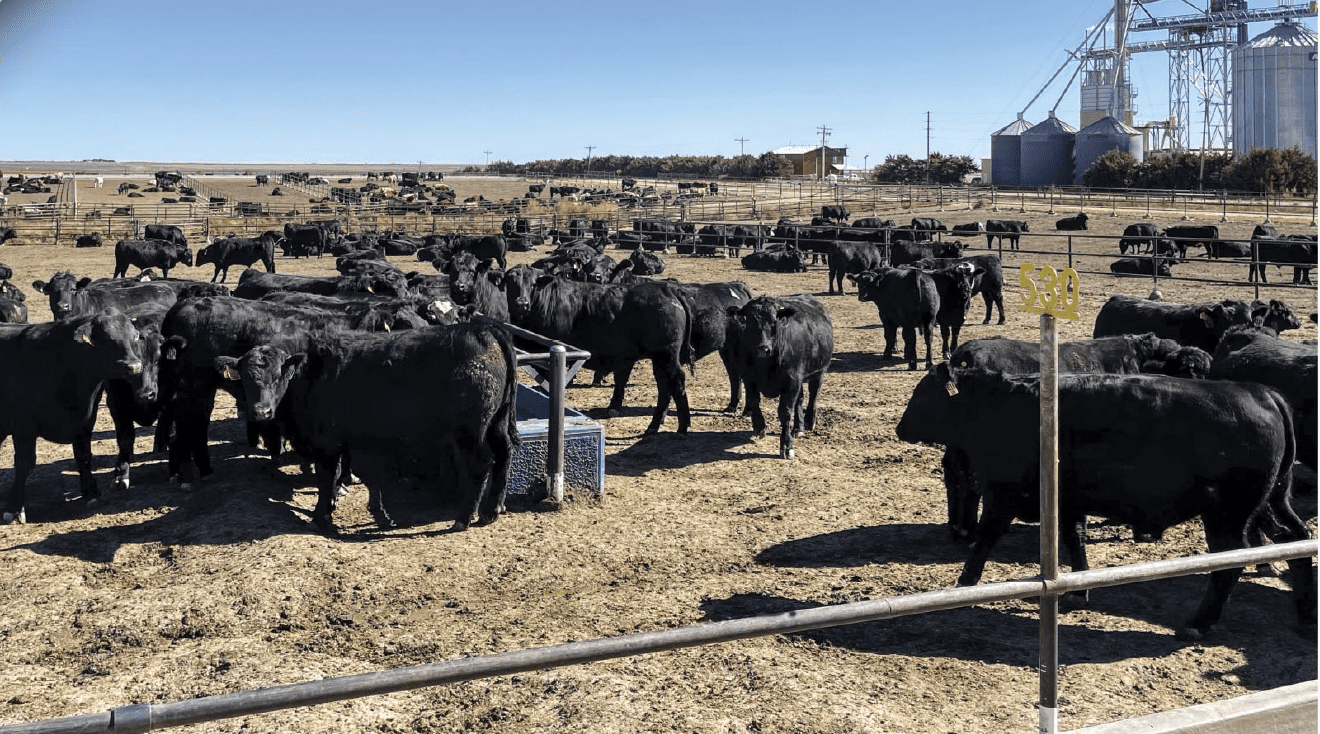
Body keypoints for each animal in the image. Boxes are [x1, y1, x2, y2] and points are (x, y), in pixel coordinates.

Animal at [0, 307, 157, 522]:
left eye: (133, 337)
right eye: (107, 339)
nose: (134, 366)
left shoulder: (85, 420)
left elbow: (84, 456)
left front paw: (90, 493)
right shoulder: (24, 424)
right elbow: (24, 463)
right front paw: (15, 509)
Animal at [215, 322, 514, 533]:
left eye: (278, 376)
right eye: (246, 379)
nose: (261, 412)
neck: (310, 371)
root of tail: (483, 328)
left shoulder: (326, 443)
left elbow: (326, 477)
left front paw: (321, 515)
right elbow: (335, 475)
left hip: (471, 431)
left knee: (481, 463)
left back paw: (465, 517)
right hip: (496, 423)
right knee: (504, 453)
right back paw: (493, 509)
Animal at [501, 265, 691, 433]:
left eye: (533, 283)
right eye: (510, 281)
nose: (522, 303)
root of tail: (667, 291)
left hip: (666, 355)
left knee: (676, 382)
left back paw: (682, 427)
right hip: (659, 359)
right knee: (664, 388)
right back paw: (654, 426)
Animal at [728, 294, 828, 459]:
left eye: (774, 321)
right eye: (749, 321)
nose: (762, 349)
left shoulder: (791, 382)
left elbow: (785, 412)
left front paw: (787, 445)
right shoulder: (749, 378)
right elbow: (754, 402)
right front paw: (759, 426)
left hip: (819, 372)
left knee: (814, 395)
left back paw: (809, 422)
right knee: (800, 400)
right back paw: (798, 427)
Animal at [892, 364, 1314, 638]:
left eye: (922, 394)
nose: (900, 427)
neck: (998, 405)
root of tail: (1262, 392)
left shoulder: (1003, 494)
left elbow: (984, 538)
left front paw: (964, 585)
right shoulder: (1067, 502)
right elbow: (1073, 540)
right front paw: (1078, 591)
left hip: (1228, 515)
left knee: (1231, 562)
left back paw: (1198, 623)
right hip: (1272, 502)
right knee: (1295, 539)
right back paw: (1306, 617)